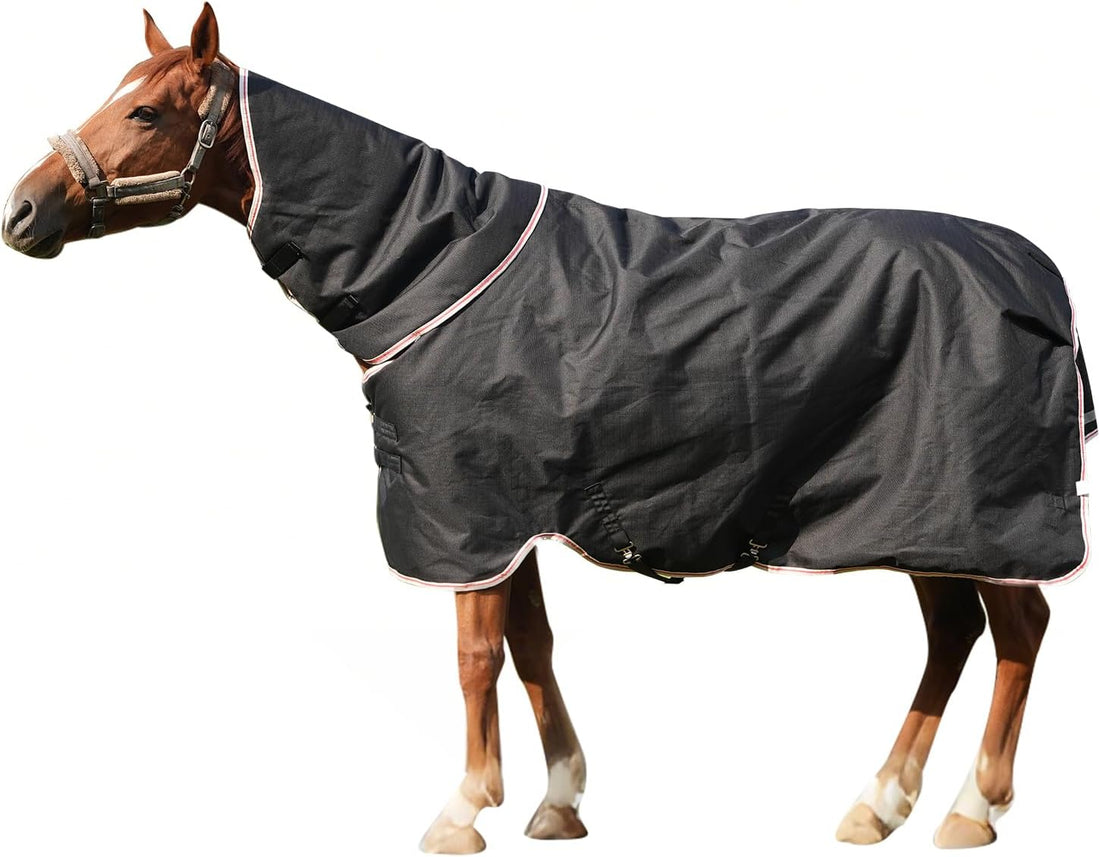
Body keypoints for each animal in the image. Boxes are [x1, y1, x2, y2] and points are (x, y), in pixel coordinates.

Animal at [2, 5, 1093, 852]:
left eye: (145, 109)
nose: (22, 209)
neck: (434, 264)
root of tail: (1036, 273)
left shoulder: (467, 511)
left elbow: (476, 656)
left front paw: (460, 809)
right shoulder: (509, 515)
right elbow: (531, 644)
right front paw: (558, 801)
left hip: (976, 511)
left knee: (1017, 631)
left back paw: (970, 808)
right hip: (921, 513)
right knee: (954, 633)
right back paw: (879, 802)